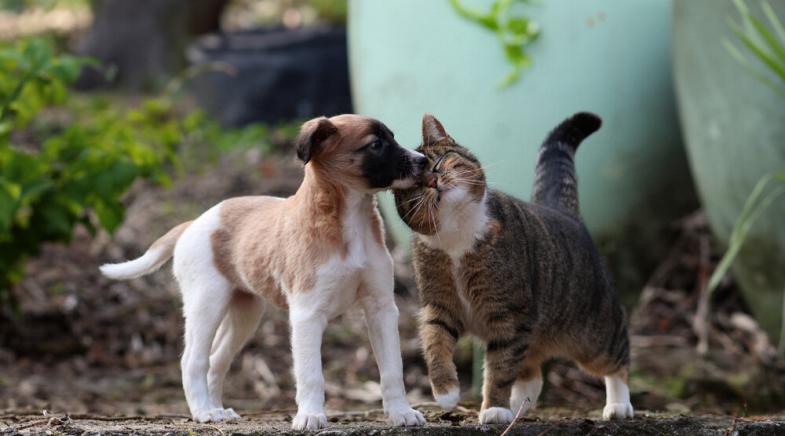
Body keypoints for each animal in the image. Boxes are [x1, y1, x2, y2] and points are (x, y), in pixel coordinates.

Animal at [101, 114, 428, 430]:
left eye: (392, 138)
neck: (348, 223)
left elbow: (393, 369)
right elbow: (310, 373)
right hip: (206, 303)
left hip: (244, 314)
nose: (424, 161)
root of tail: (193, 223)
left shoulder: (381, 308)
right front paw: (310, 416)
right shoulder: (307, 315)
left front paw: (401, 413)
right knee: (192, 360)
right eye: (376, 144)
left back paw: (218, 410)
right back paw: (204, 412)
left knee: (216, 361)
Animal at [396, 111, 632, 422]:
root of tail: (564, 212)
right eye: (414, 185)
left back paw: (619, 405)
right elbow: (436, 343)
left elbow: (499, 367)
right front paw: (446, 391)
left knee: (617, 356)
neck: (456, 231)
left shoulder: (509, 314)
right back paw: (520, 404)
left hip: (593, 335)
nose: (433, 181)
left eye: (439, 162)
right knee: (531, 373)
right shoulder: (440, 306)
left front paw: (495, 408)